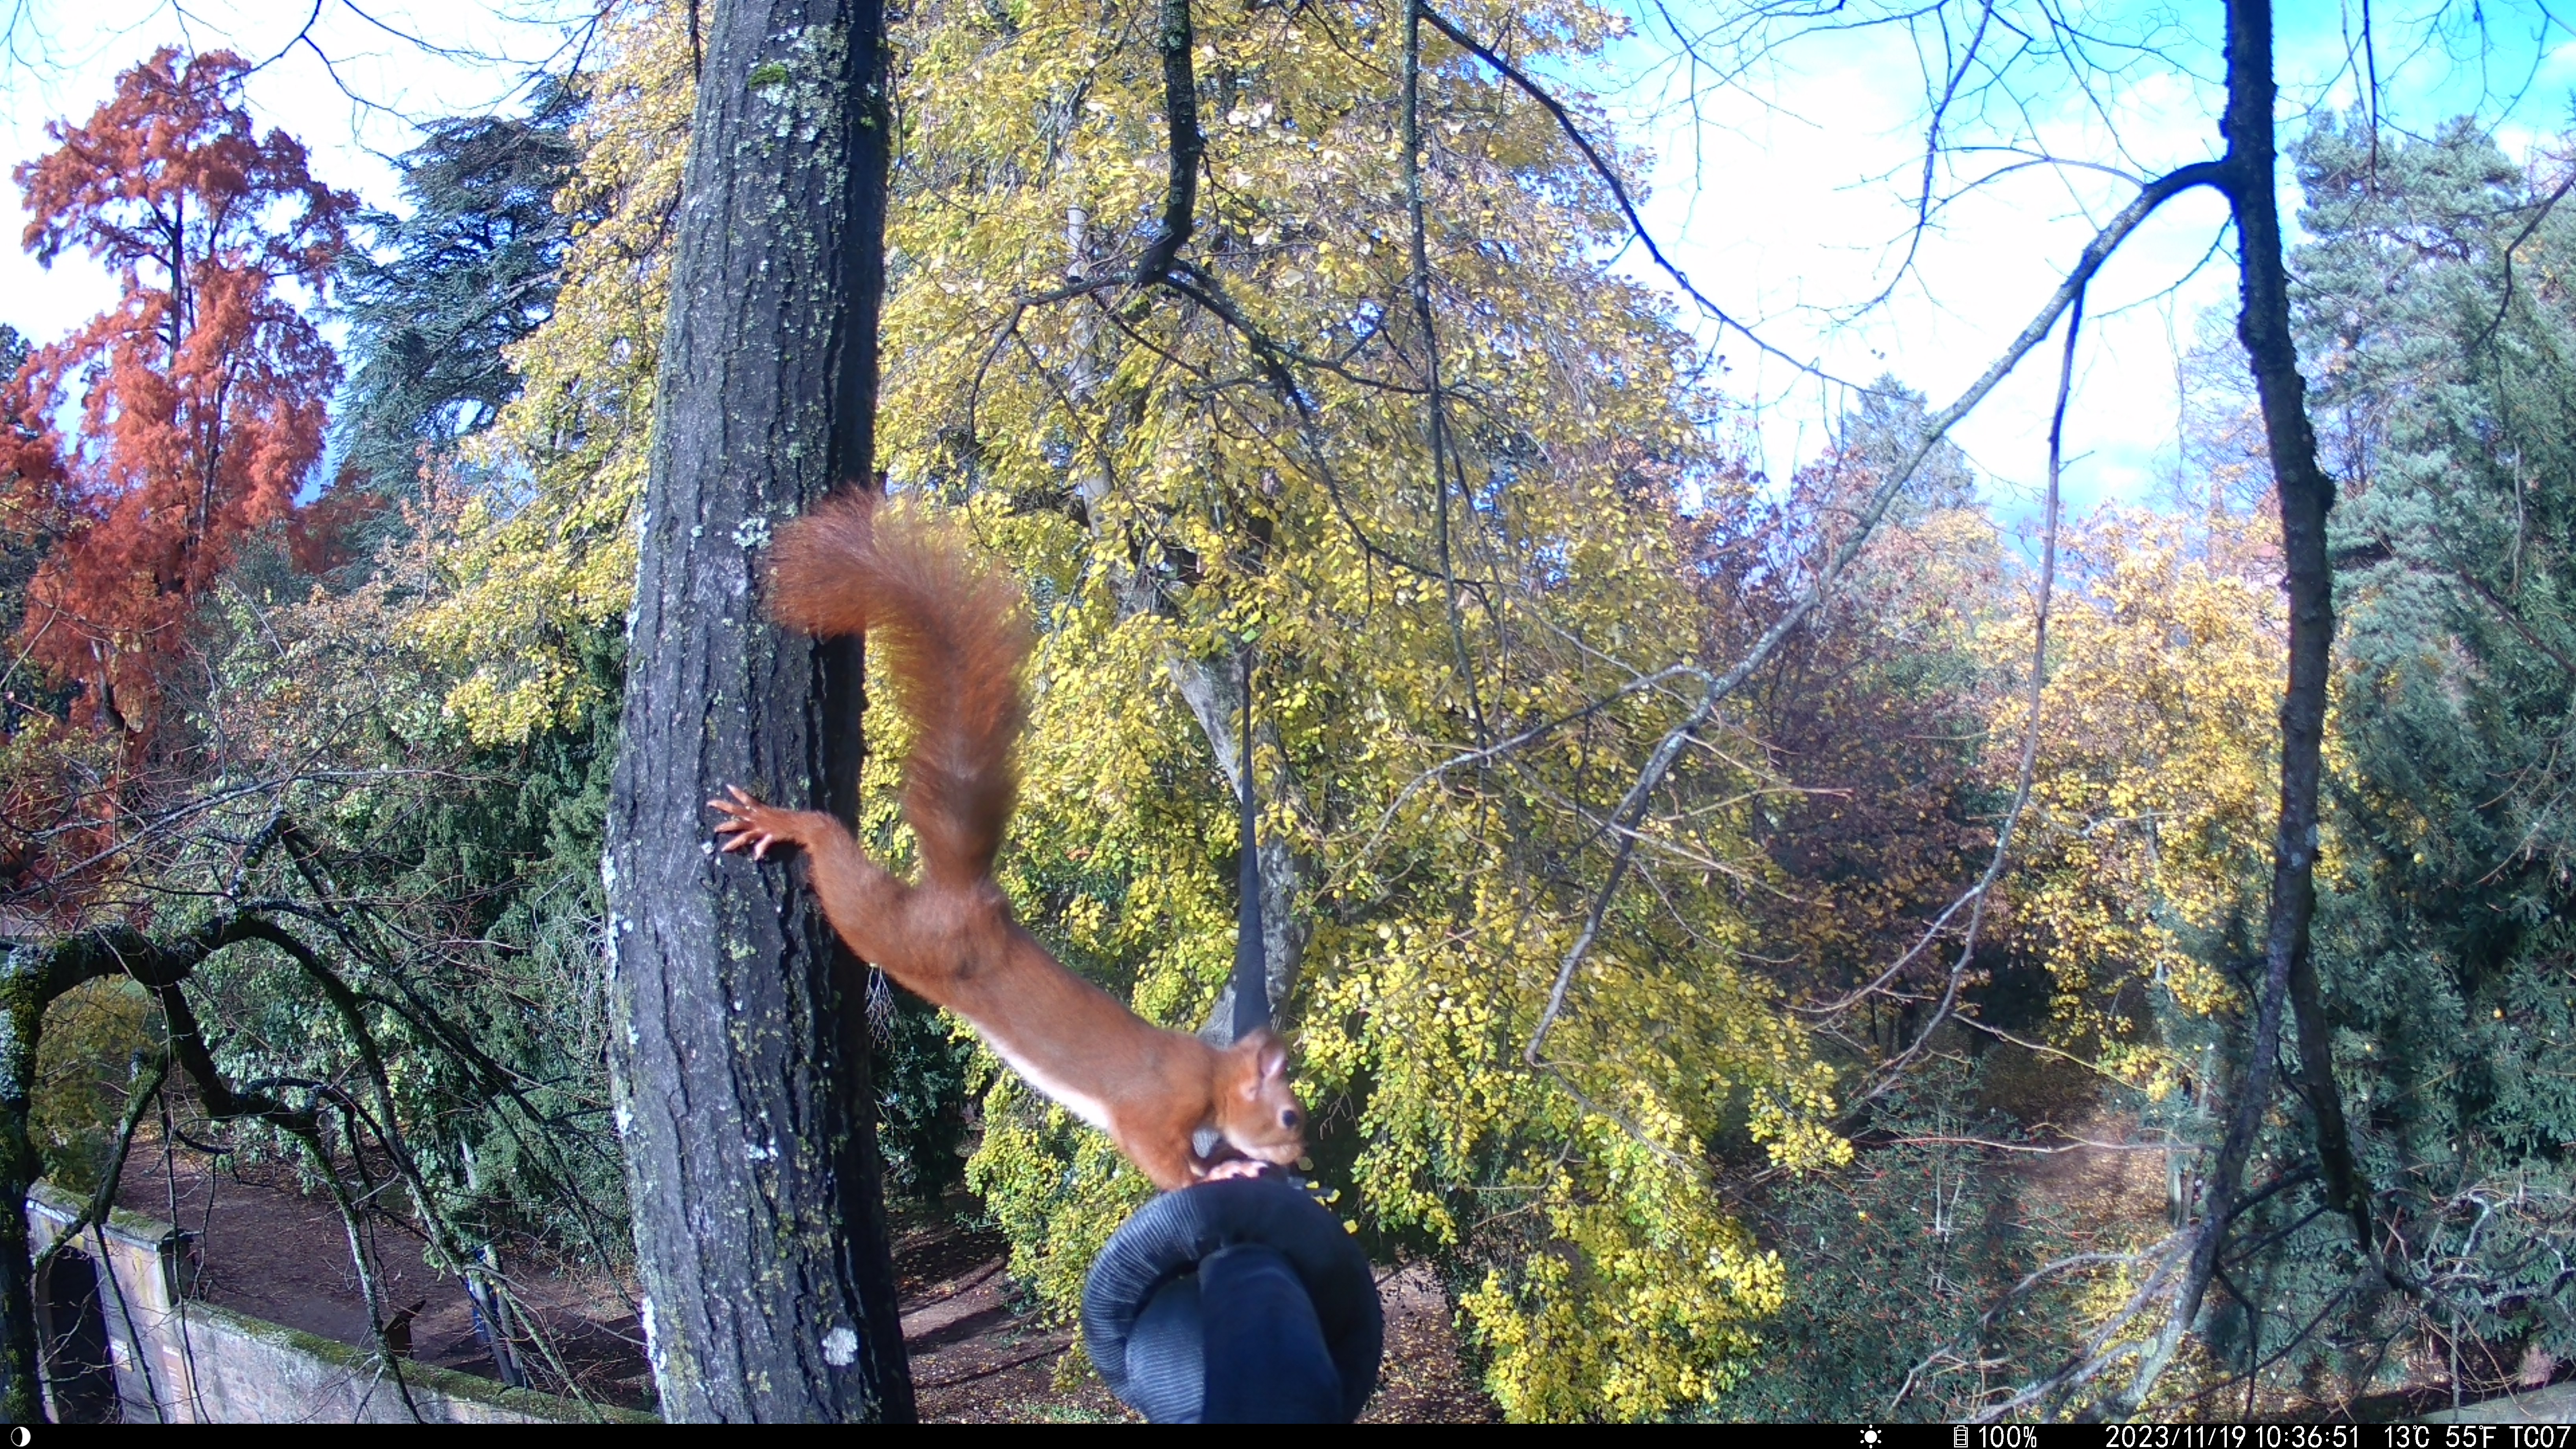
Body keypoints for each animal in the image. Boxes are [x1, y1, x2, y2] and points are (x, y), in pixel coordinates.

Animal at [711, 490, 1298, 1191]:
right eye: (1290, 1116)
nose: (1301, 1155)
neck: (1209, 1074)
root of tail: (970, 900)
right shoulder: (1153, 1109)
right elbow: (1160, 1160)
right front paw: (1212, 1175)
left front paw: (1227, 1161)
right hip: (902, 936)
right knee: (839, 867)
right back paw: (786, 825)